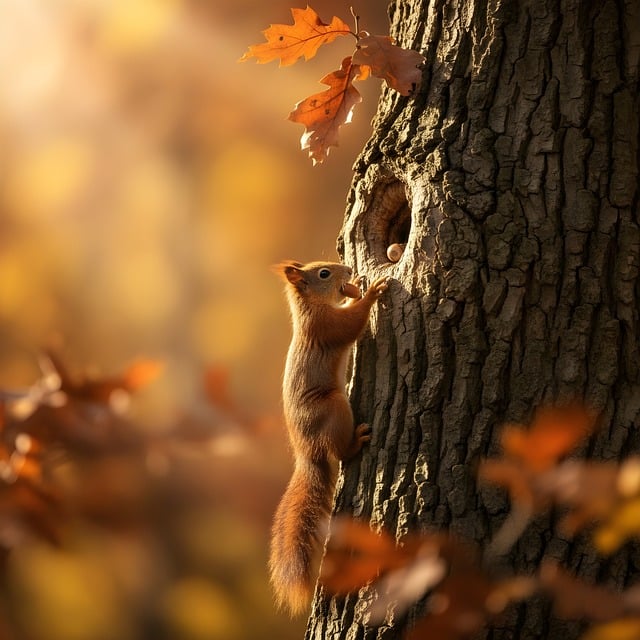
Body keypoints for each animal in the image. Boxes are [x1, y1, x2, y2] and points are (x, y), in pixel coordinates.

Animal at [270, 260, 388, 615]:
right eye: (323, 273)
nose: (348, 269)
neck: (311, 309)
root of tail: (307, 453)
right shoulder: (327, 327)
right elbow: (350, 325)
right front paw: (372, 290)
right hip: (334, 407)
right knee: (340, 452)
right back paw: (357, 441)